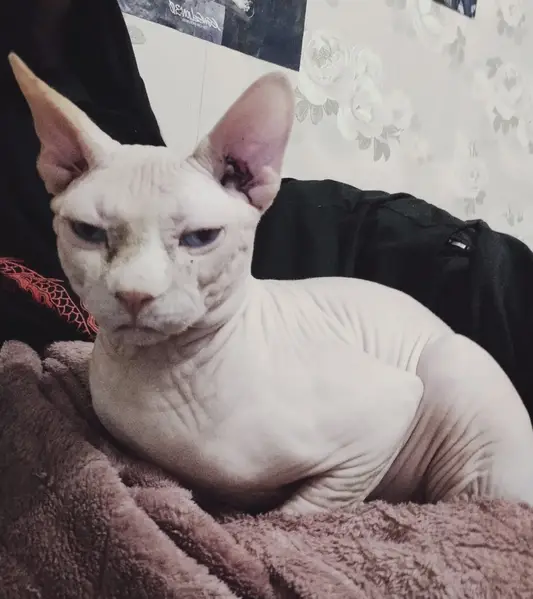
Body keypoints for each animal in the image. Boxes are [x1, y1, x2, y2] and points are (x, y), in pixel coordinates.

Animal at [10, 52, 533, 514]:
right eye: (88, 232)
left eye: (201, 237)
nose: (135, 294)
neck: (162, 375)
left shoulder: (389, 412)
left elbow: (303, 512)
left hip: (453, 367)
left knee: (470, 507)